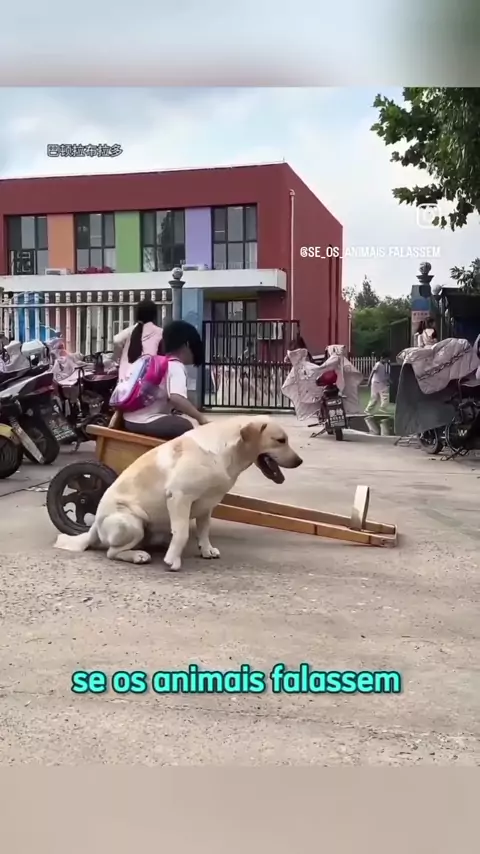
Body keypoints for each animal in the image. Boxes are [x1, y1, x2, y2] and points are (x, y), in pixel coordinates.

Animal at [55, 414, 303, 571]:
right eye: (280, 440)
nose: (299, 461)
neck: (226, 452)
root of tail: (94, 528)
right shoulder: (179, 496)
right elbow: (183, 532)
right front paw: (173, 560)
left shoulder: (208, 503)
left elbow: (204, 529)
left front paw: (206, 549)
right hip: (132, 522)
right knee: (112, 552)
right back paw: (138, 555)